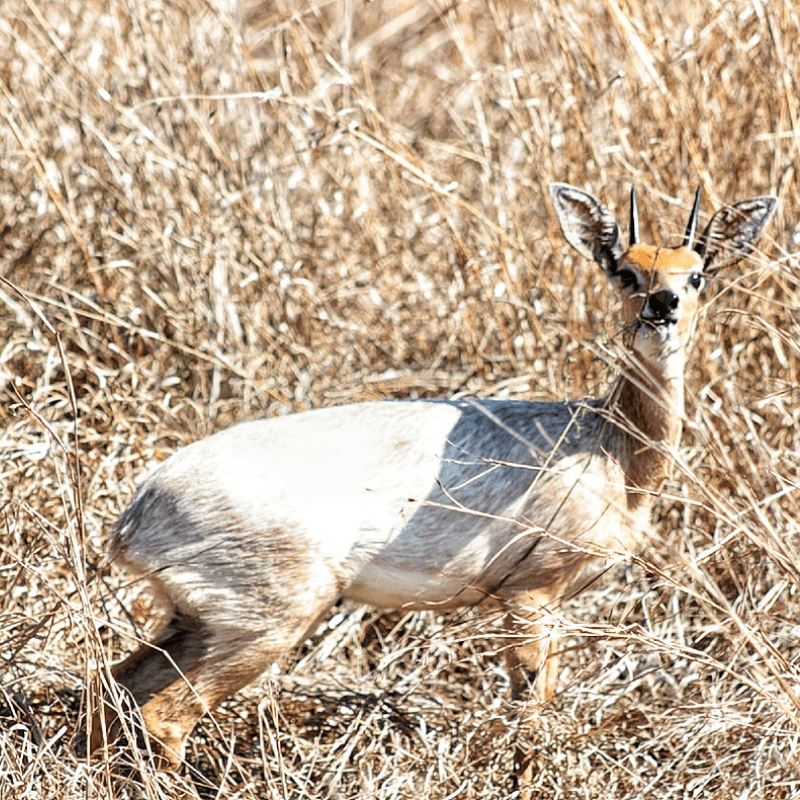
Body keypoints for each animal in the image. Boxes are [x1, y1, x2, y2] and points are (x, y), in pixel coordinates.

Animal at [89, 183, 776, 776]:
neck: (614, 451)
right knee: (163, 715)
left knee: (113, 689)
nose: (663, 305)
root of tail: (135, 515)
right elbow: (530, 711)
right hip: (268, 621)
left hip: (194, 620)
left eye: (697, 272)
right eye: (626, 270)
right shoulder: (529, 593)